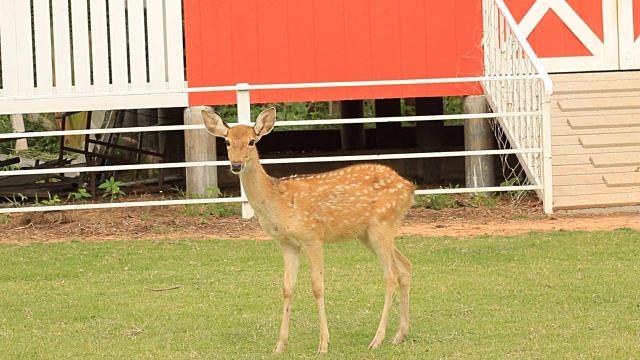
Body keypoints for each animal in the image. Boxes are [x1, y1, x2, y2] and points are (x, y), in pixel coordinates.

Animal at [202, 107, 418, 354]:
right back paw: (399, 335)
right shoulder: (287, 243)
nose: (236, 165)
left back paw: (377, 339)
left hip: (382, 224)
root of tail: (410, 188)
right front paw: (280, 345)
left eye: (251, 141)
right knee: (404, 266)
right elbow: (287, 287)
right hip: (369, 233)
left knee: (391, 275)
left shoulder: (312, 235)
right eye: (227, 141)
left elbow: (317, 286)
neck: (277, 203)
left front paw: (323, 344)